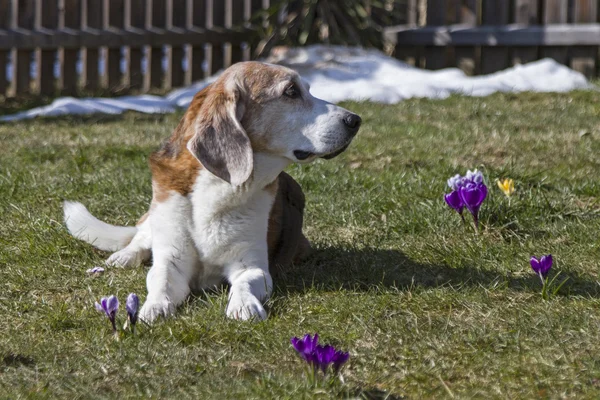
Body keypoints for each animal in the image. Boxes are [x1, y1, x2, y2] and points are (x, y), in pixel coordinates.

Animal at [64, 61, 360, 322]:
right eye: (291, 91)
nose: (355, 120)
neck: (220, 186)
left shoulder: (251, 265)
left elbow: (245, 283)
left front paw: (244, 306)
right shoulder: (171, 259)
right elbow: (160, 281)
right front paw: (153, 307)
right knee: (139, 238)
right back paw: (124, 256)